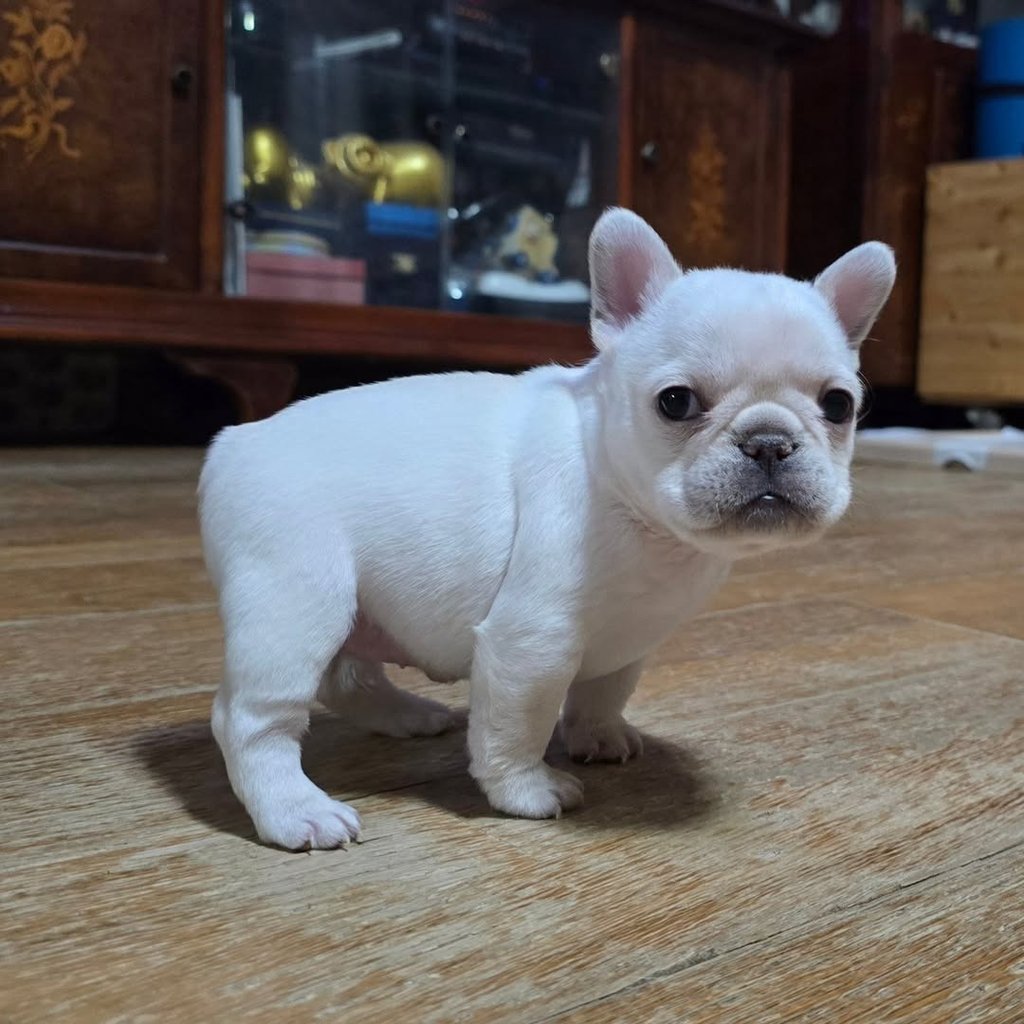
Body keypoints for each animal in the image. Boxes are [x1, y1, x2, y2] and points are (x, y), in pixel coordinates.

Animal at [199, 209, 895, 850]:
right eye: (676, 401)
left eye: (839, 405)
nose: (769, 441)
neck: (631, 506)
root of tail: (235, 442)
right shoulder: (531, 643)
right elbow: (518, 723)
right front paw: (525, 790)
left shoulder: (627, 638)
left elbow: (604, 692)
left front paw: (598, 736)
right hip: (298, 599)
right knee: (249, 718)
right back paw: (295, 810)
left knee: (349, 679)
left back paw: (408, 716)